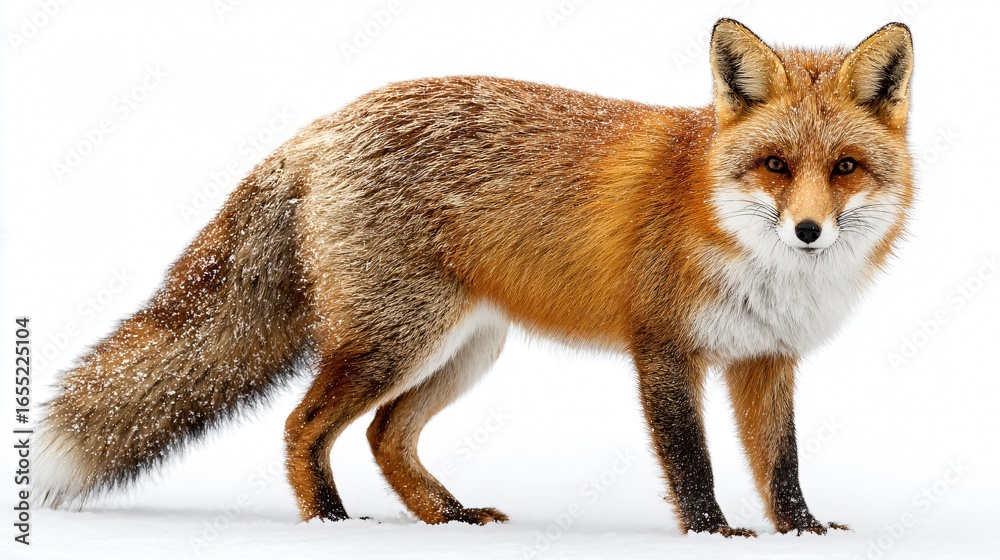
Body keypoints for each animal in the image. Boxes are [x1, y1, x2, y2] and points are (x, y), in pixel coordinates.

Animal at [34, 19, 914, 537]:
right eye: (775, 166)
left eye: (844, 168)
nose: (808, 231)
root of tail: (319, 128)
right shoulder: (665, 349)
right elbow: (690, 461)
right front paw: (713, 535)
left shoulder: (767, 358)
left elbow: (781, 463)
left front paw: (801, 533)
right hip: (395, 341)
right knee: (302, 424)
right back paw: (330, 521)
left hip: (466, 350)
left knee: (385, 435)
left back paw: (447, 515)